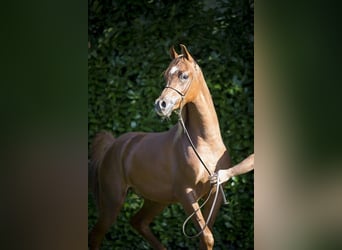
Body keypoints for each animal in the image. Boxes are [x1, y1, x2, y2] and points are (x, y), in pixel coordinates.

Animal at [89, 45, 231, 250]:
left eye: (184, 75)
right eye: (165, 76)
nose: (161, 105)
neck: (206, 144)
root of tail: (113, 146)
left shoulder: (215, 195)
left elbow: (206, 236)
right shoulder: (186, 194)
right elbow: (207, 237)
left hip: (156, 200)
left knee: (138, 222)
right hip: (112, 201)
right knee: (96, 235)